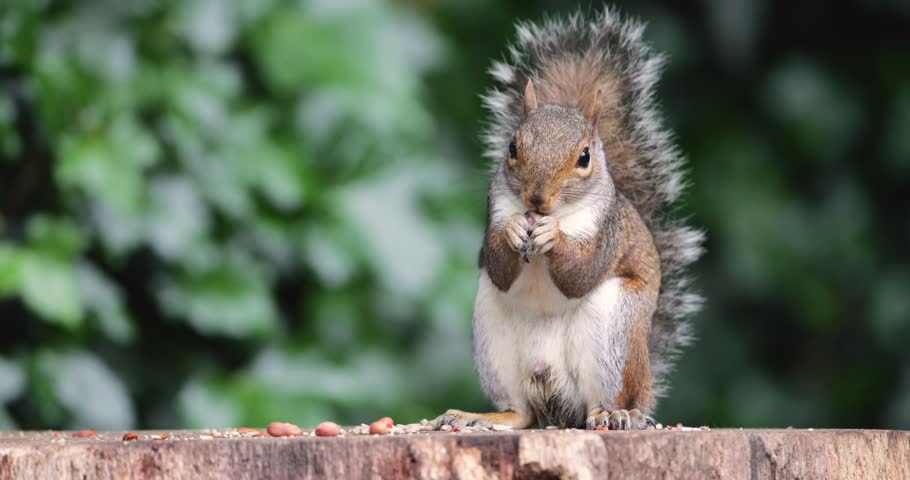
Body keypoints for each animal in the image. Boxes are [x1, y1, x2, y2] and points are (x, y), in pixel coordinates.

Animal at [433, 8, 704, 431]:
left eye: (584, 157)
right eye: (512, 147)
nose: (537, 199)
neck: (556, 212)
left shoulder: (606, 231)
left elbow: (581, 272)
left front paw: (554, 237)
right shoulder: (494, 209)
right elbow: (498, 266)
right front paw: (514, 230)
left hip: (613, 335)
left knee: (600, 402)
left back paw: (614, 414)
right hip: (492, 338)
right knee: (521, 412)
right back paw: (478, 415)